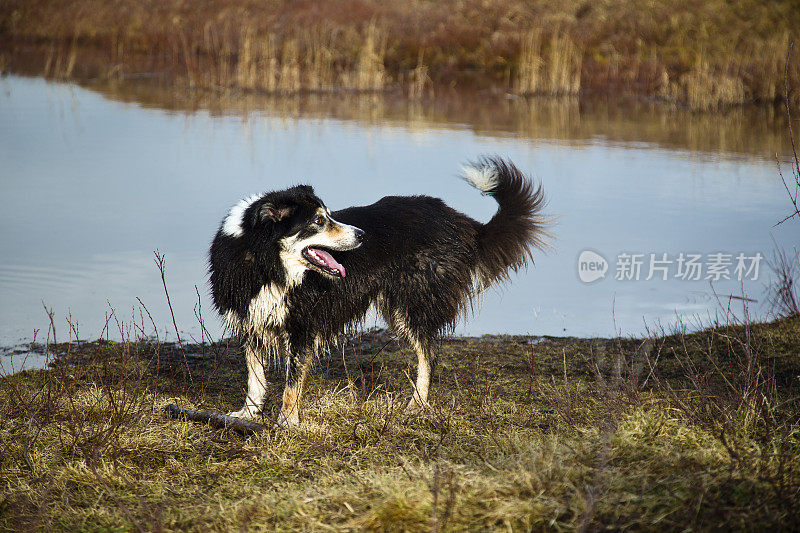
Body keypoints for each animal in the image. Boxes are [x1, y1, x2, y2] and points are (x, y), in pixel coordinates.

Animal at [209, 156, 548, 426]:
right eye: (319, 220)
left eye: (329, 215)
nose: (362, 235)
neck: (264, 264)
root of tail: (461, 222)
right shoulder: (249, 320)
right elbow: (255, 376)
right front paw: (248, 414)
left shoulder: (302, 326)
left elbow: (292, 383)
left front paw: (287, 421)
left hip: (412, 304)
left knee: (429, 356)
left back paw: (417, 404)